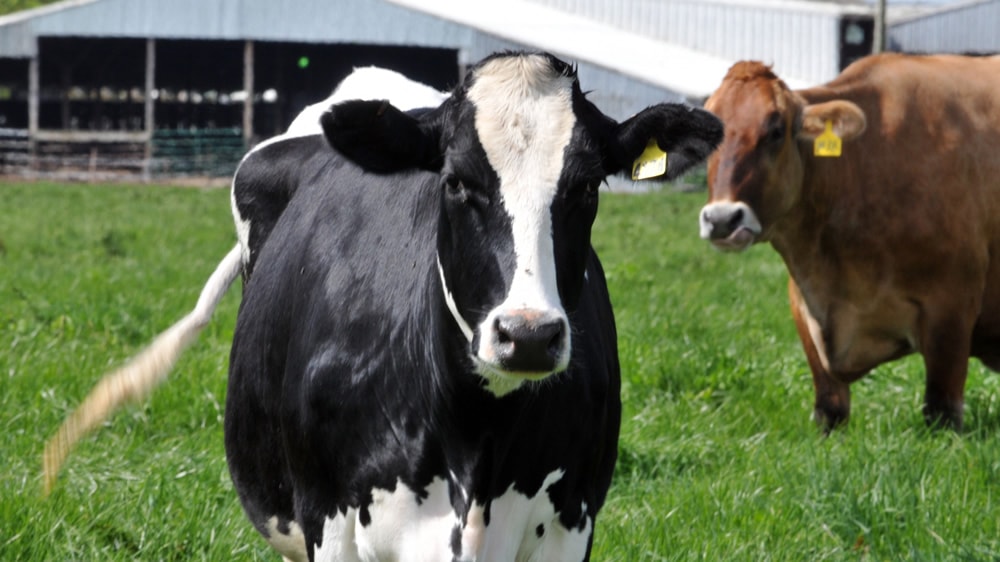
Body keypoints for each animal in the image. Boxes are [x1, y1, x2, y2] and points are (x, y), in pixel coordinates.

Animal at [700, 52, 996, 428]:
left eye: (776, 131)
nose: (722, 219)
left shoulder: (952, 309)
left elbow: (942, 411)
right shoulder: (805, 310)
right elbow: (830, 409)